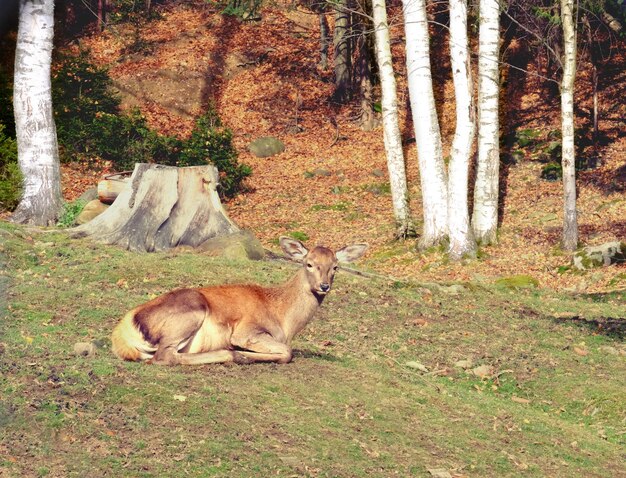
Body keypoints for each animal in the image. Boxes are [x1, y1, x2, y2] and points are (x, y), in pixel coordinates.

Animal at [111, 236, 366, 366]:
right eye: (309, 263)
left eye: (335, 267)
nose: (324, 286)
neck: (284, 320)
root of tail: (122, 331)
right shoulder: (246, 330)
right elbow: (287, 352)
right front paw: (244, 355)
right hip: (190, 312)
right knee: (165, 357)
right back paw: (231, 355)